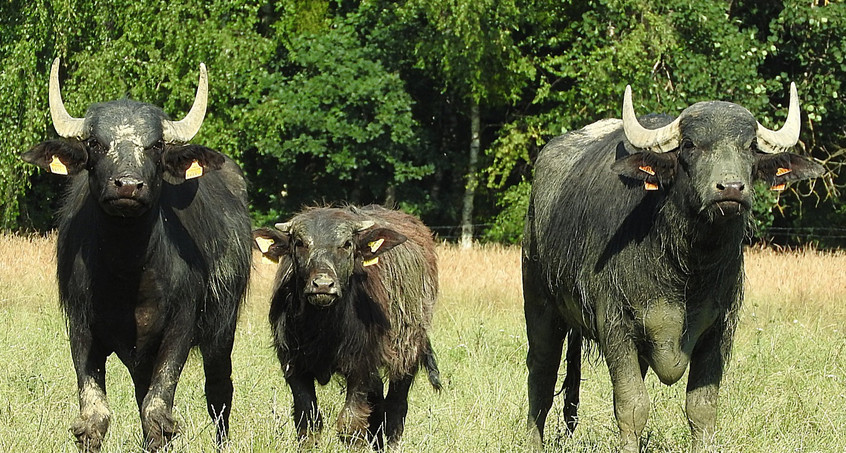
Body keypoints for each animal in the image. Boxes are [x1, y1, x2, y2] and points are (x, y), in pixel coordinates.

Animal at [19, 58, 252, 450]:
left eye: (156, 145)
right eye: (95, 143)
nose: (127, 185)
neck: (127, 271)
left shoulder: (180, 327)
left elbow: (158, 412)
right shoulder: (81, 327)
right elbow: (95, 416)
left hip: (223, 330)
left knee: (219, 392)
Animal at [253, 205, 444, 448]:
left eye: (346, 244)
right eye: (300, 243)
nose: (323, 285)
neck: (323, 328)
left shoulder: (361, 367)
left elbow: (350, 423)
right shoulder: (293, 366)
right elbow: (308, 422)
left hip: (408, 352)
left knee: (396, 404)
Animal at [524, 83, 828, 450]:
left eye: (750, 147)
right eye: (690, 145)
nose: (731, 188)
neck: (686, 270)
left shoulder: (720, 328)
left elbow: (702, 408)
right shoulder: (615, 324)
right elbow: (631, 406)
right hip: (540, 304)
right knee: (541, 375)